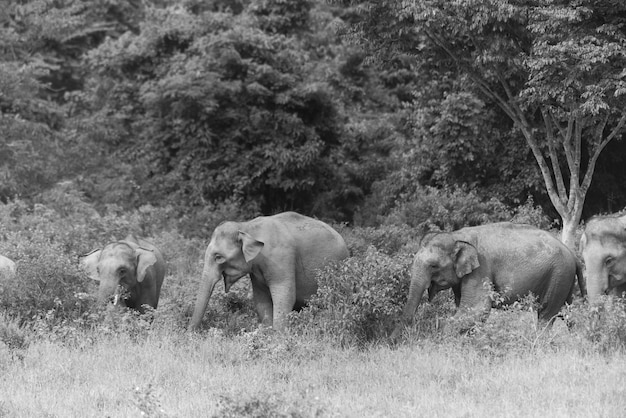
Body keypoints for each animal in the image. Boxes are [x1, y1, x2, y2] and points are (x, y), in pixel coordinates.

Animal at [188, 211, 348, 332]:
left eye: (218, 257)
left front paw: (278, 336)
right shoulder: (256, 270)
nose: (193, 333)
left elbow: (285, 297)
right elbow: (261, 299)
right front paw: (267, 332)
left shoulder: (281, 259)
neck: (246, 226)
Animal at [392, 224, 584, 338]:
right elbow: (466, 308)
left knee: (546, 314)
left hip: (558, 274)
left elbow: (477, 309)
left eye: (433, 266)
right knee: (569, 312)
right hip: (563, 278)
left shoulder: (481, 270)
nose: (393, 341)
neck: (456, 235)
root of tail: (572, 253)